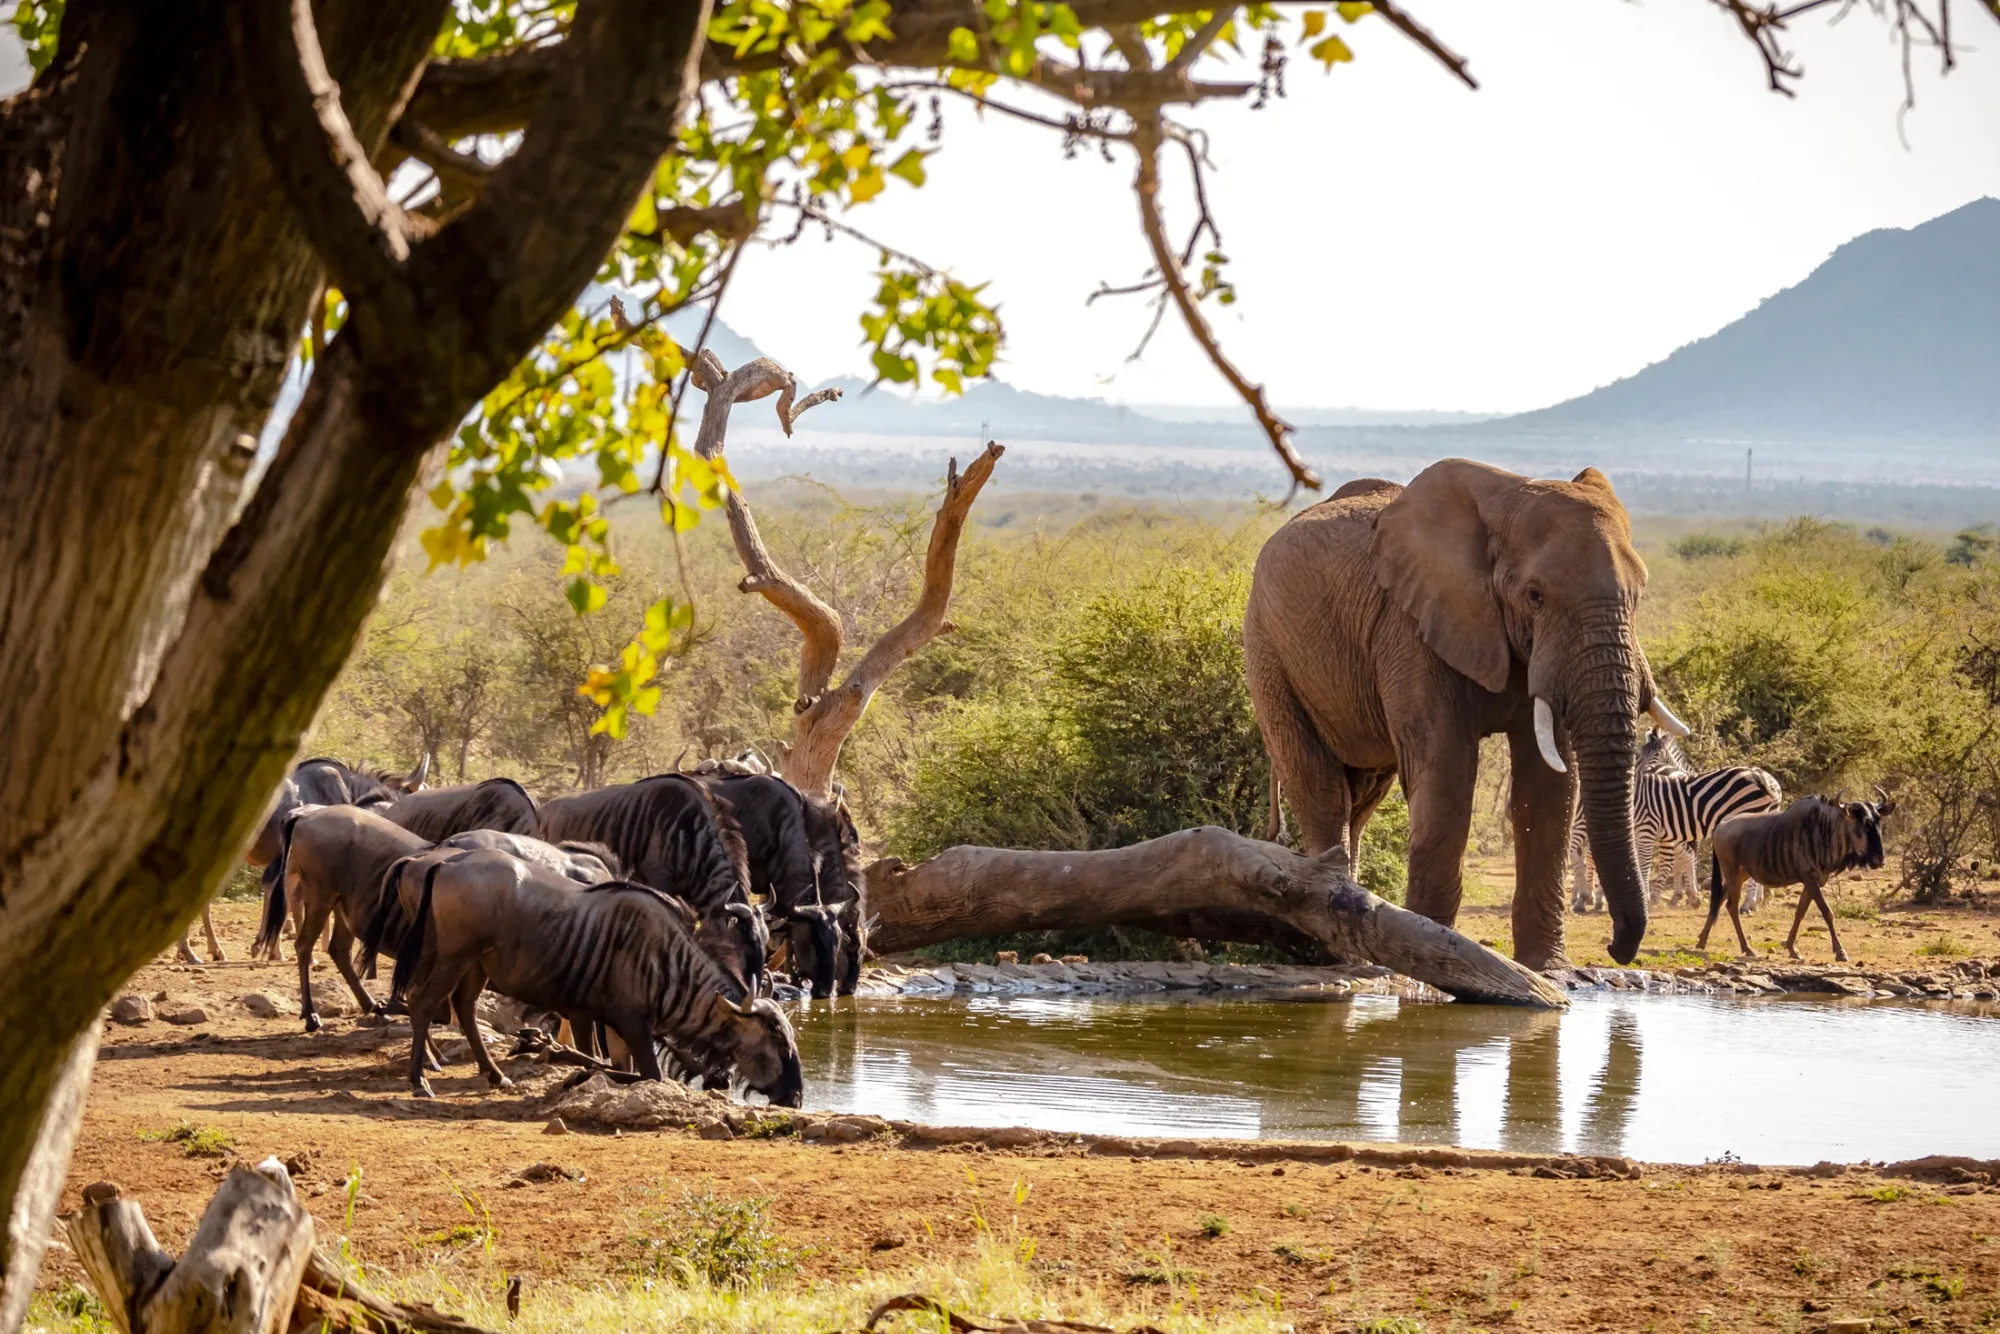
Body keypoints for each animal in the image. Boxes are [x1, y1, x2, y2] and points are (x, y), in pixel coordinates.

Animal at [1242, 459, 1689, 970]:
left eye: (1639, 596)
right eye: (1535, 596)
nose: (1616, 947)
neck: (1505, 497)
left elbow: (1549, 785)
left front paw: (1546, 969)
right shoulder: (1410, 628)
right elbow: (1447, 772)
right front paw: (1424, 960)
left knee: (1362, 796)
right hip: (1267, 650)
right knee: (1322, 789)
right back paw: (1340, 954)